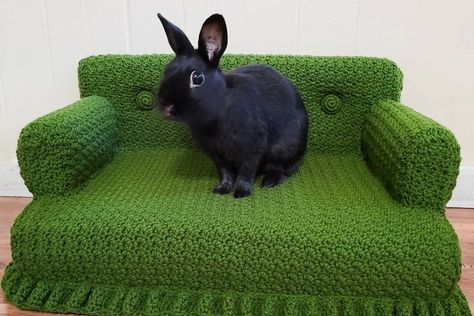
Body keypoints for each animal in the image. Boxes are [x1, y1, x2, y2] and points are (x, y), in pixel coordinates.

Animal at [157, 13, 310, 199]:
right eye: (166, 70)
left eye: (197, 78)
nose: (165, 106)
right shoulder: (217, 155)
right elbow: (225, 173)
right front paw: (221, 189)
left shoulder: (252, 148)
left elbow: (246, 172)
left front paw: (241, 192)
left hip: (285, 149)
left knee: (286, 169)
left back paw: (269, 181)